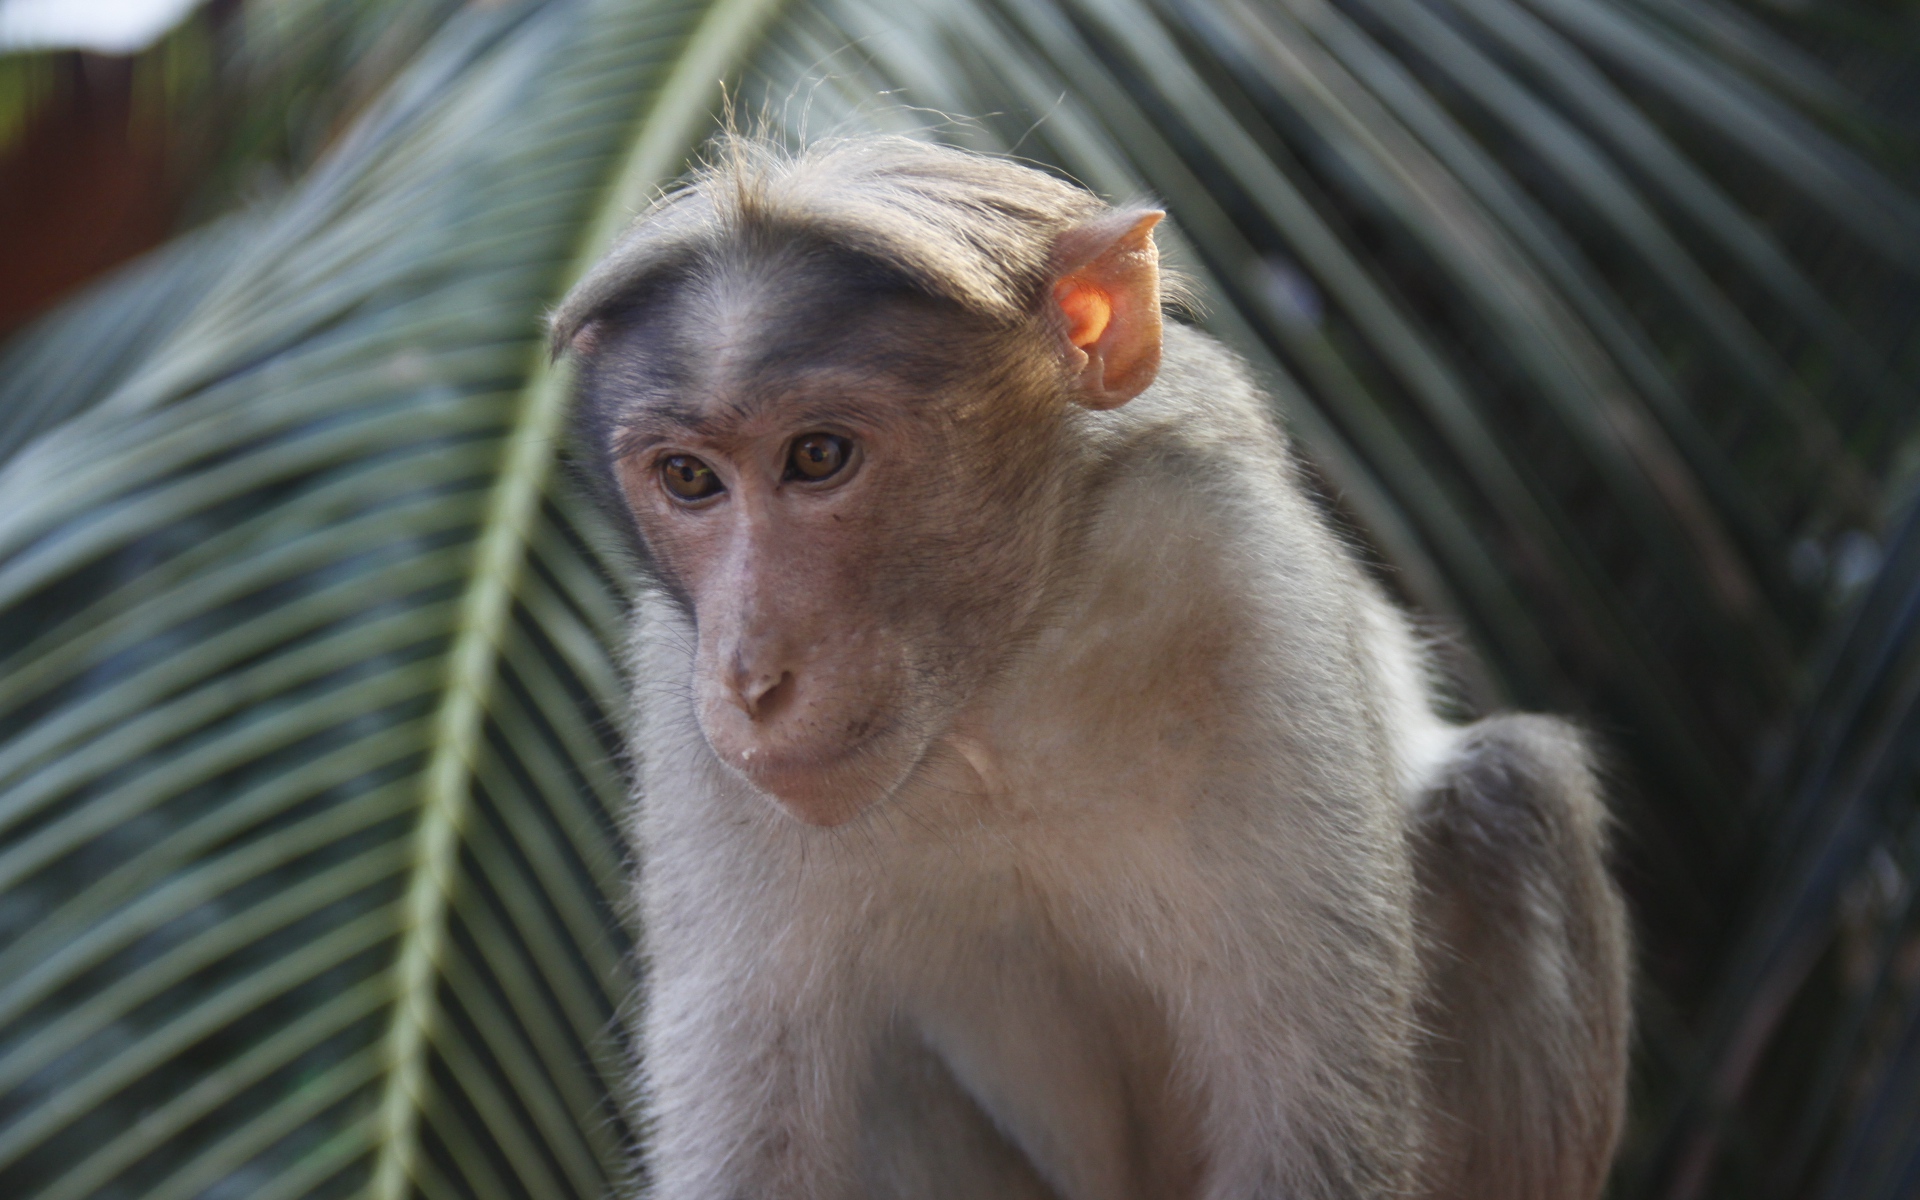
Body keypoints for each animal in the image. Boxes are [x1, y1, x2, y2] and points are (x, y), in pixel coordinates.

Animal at [551, 134, 1631, 1200]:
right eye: (689, 478)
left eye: (818, 457)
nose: (748, 677)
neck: (991, 697)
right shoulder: (679, 698)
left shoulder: (1236, 574)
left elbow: (1313, 1138)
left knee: (1510, 792)